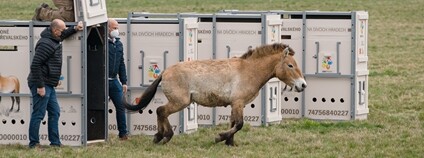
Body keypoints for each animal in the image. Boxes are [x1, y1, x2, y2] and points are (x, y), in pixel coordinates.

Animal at [124, 43, 306, 146]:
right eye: (290, 65)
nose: (302, 85)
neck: (248, 70)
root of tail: (164, 72)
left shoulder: (235, 104)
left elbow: (233, 123)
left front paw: (229, 143)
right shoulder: (238, 103)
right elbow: (239, 124)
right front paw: (220, 138)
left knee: (161, 112)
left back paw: (159, 136)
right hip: (180, 102)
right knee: (161, 111)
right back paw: (164, 136)